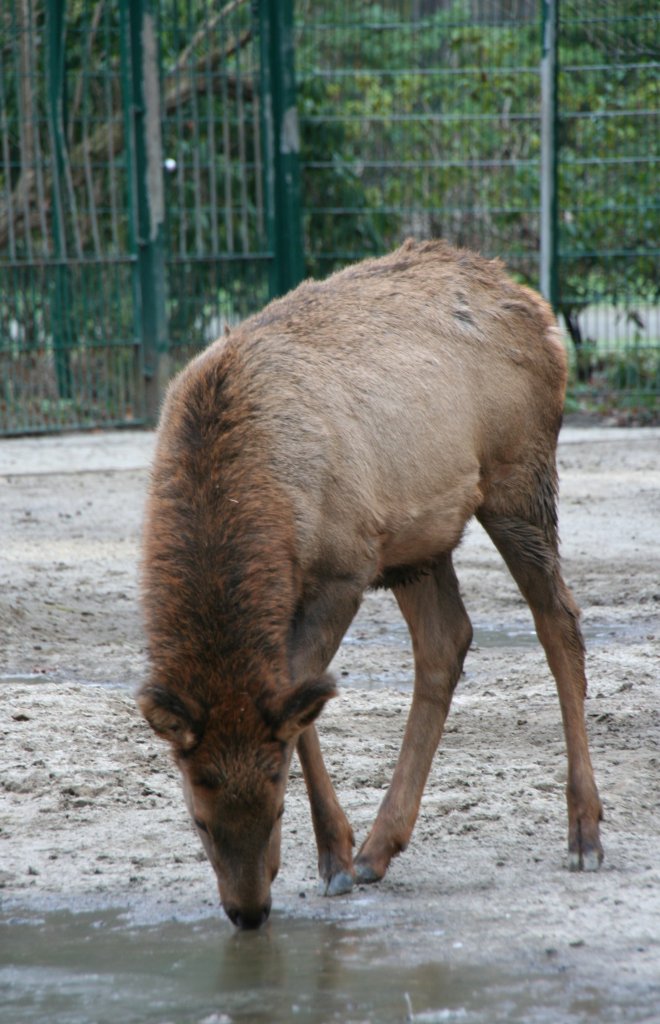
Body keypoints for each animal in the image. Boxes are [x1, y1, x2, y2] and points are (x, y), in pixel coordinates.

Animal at [139, 237, 601, 929]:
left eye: (276, 803)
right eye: (197, 817)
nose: (248, 912)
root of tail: (540, 311)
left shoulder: (343, 567)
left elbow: (300, 700)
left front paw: (332, 856)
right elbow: (301, 703)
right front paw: (339, 853)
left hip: (519, 478)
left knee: (559, 621)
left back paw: (585, 832)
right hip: (418, 538)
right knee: (447, 639)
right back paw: (381, 846)